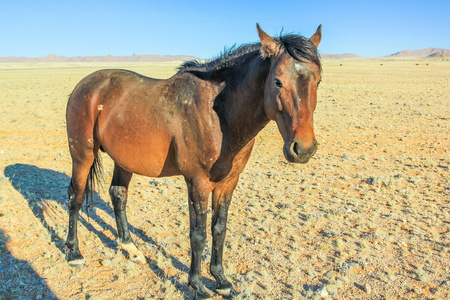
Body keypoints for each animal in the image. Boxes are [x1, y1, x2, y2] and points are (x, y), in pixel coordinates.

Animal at [65, 24, 322, 298]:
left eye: (318, 80)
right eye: (277, 81)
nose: (303, 148)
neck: (218, 114)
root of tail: (85, 84)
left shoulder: (228, 183)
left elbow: (219, 230)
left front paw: (221, 279)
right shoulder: (197, 183)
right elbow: (198, 235)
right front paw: (197, 285)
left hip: (124, 160)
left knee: (118, 194)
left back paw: (130, 248)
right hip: (82, 155)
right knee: (75, 197)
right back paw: (74, 253)